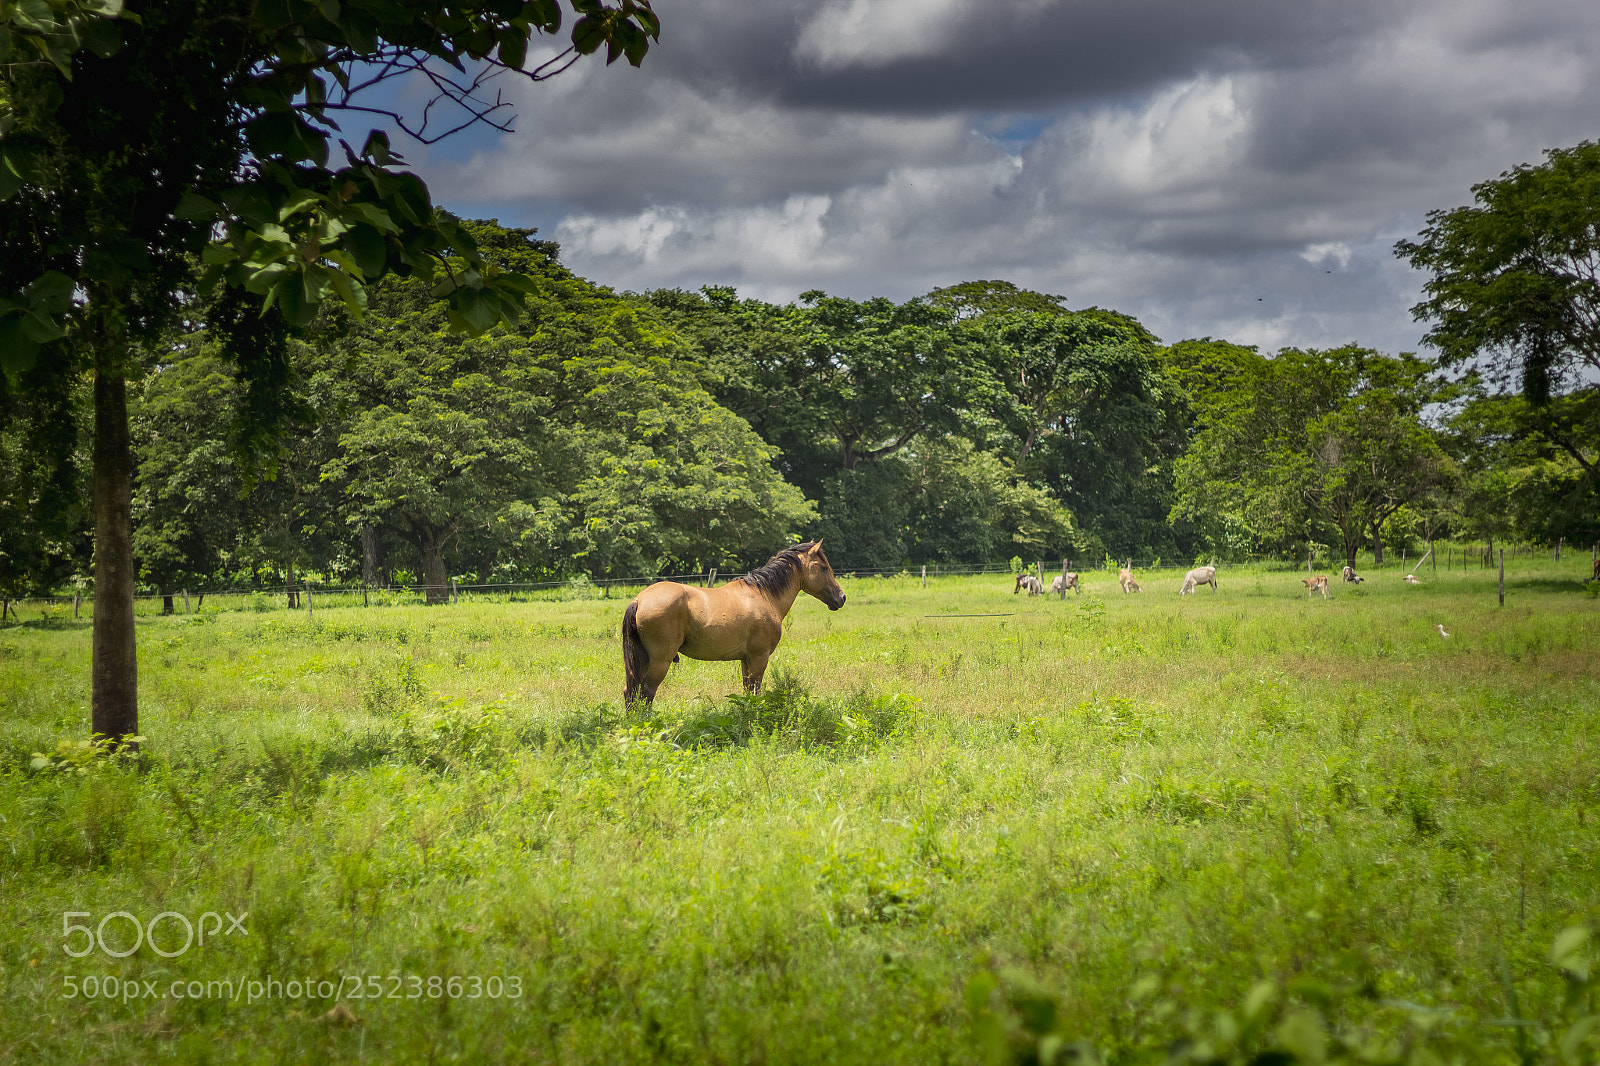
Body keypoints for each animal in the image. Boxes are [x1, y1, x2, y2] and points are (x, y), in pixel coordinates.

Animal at [622, 540, 846, 706]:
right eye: (824, 568)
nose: (841, 597)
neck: (764, 595)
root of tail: (639, 600)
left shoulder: (746, 659)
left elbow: (747, 692)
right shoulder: (759, 657)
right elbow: (755, 691)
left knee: (631, 692)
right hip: (660, 661)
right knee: (646, 692)